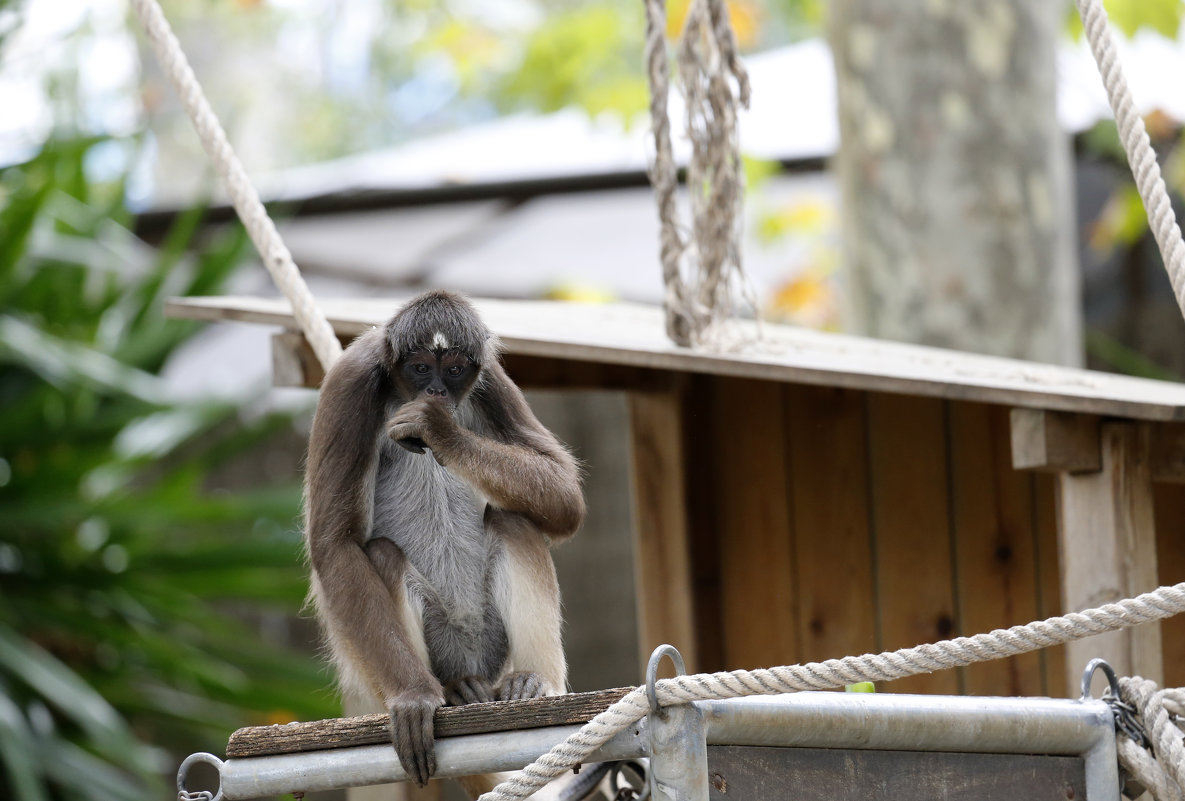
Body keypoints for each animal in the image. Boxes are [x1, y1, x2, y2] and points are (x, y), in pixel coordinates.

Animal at [303, 291, 585, 791]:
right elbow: (335, 545)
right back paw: (449, 693)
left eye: (453, 369)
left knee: (513, 519)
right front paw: (415, 697)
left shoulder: (490, 380)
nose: (434, 392)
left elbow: (567, 498)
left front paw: (441, 431)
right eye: (419, 367)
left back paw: (536, 686)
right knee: (379, 553)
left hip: (491, 646)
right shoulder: (353, 379)